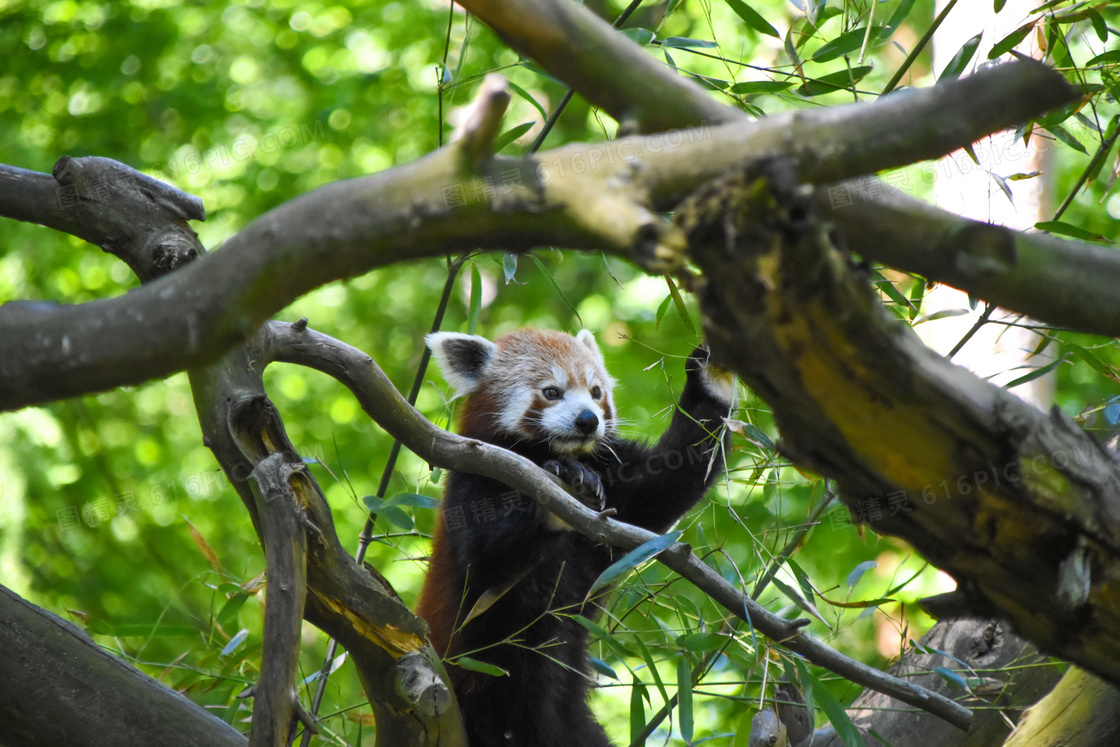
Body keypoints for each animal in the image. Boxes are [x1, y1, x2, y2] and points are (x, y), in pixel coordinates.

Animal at [418, 329, 734, 743]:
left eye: (596, 391)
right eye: (552, 392)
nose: (588, 420)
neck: (546, 451)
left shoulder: (616, 480)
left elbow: (672, 475)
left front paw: (711, 377)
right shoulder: (474, 474)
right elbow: (488, 560)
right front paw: (565, 482)